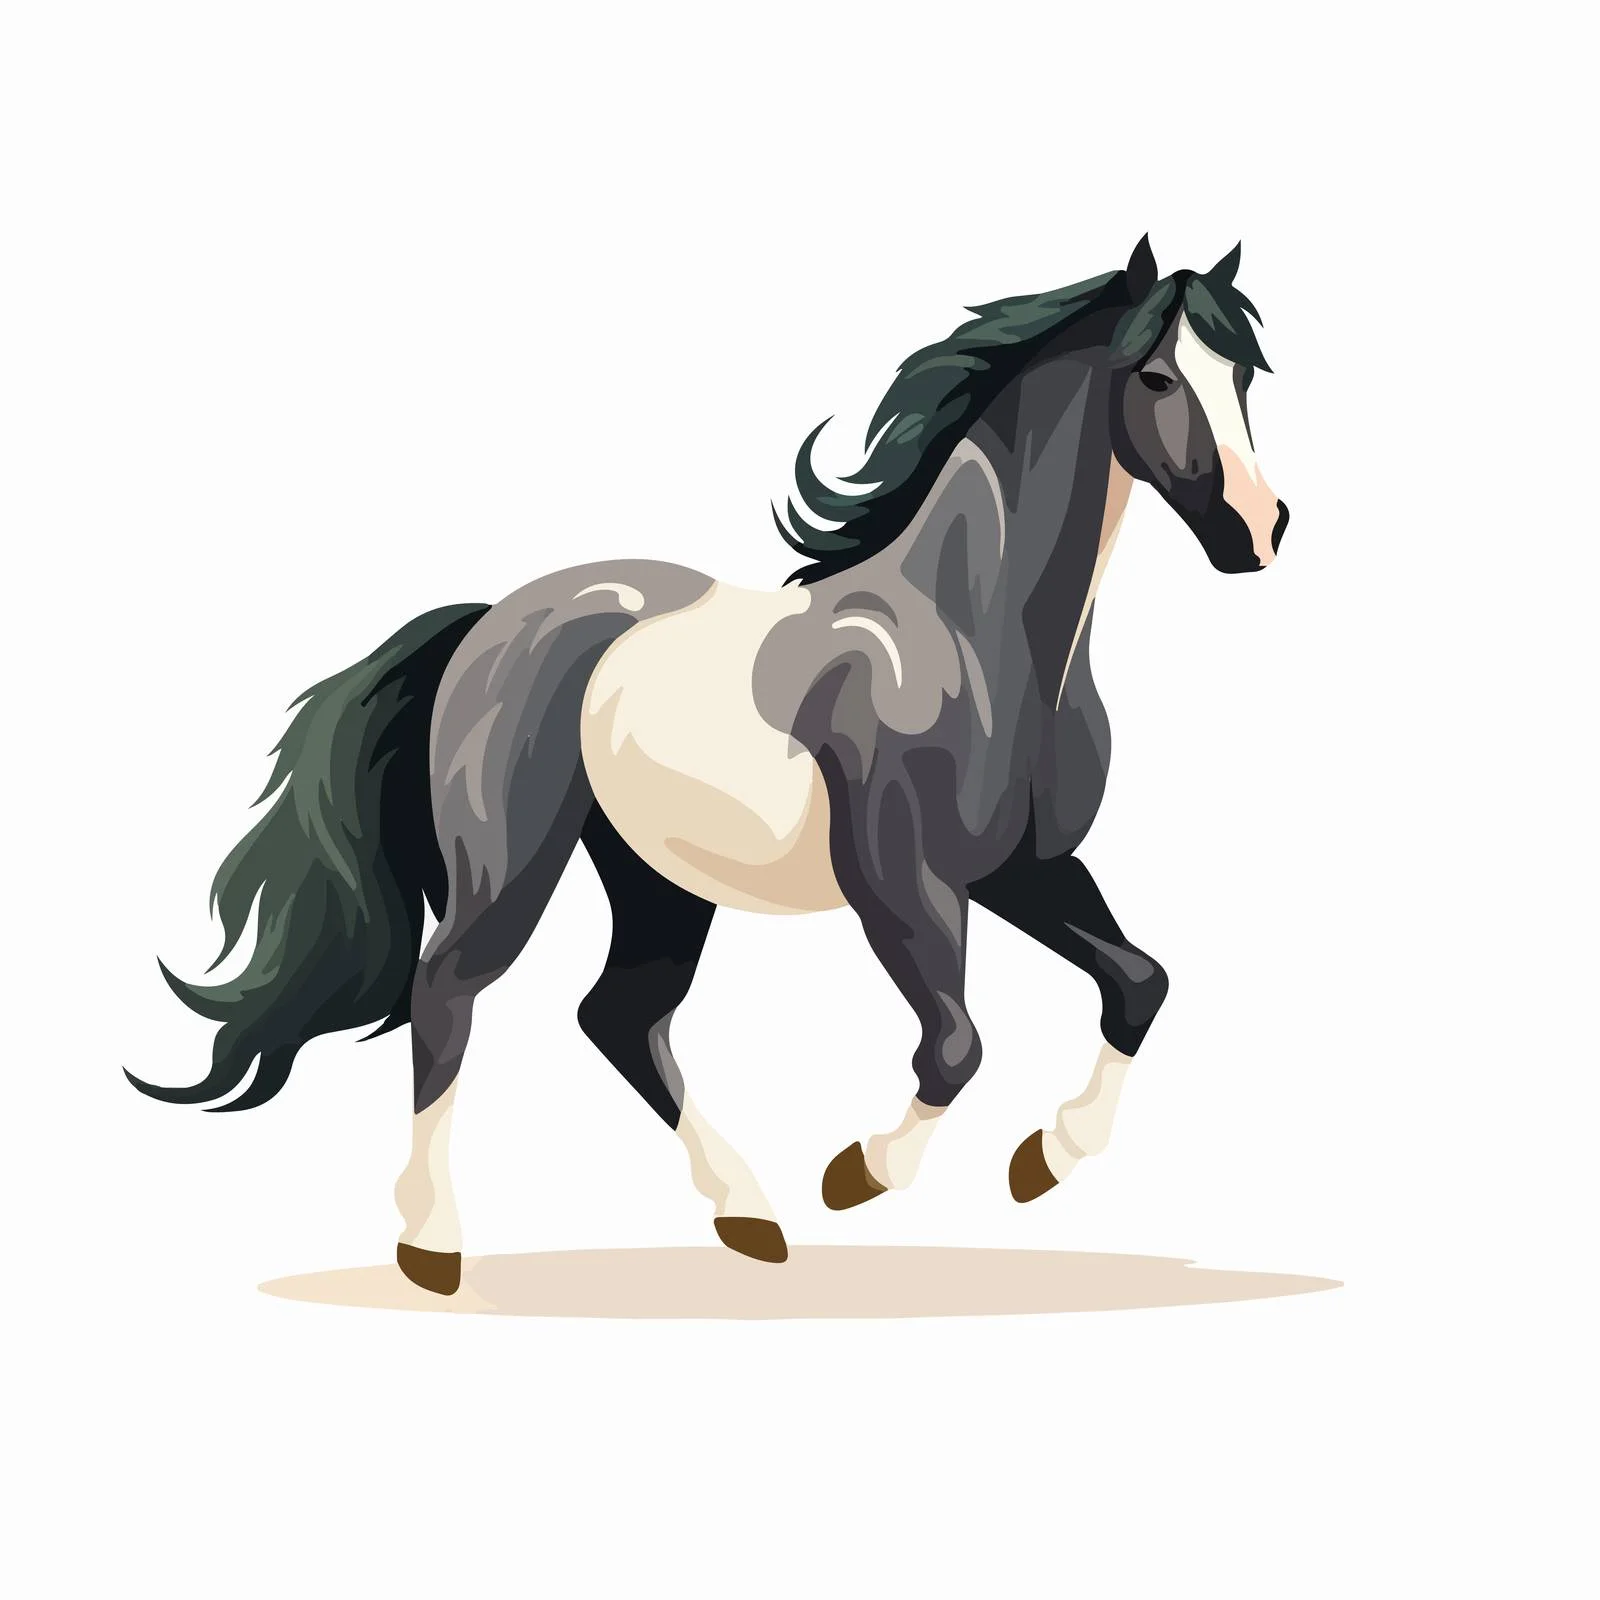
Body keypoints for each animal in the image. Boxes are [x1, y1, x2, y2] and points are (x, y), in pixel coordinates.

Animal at [128, 236, 1289, 1296]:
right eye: (1156, 376)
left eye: (1241, 376)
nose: (1261, 532)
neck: (975, 627)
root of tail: (488, 622)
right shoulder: (902, 882)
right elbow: (955, 1044)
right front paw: (857, 1175)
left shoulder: (1025, 868)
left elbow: (1140, 983)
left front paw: (1044, 1161)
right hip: (513, 869)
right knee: (446, 996)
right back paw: (434, 1246)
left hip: (657, 879)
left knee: (618, 1016)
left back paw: (748, 1217)